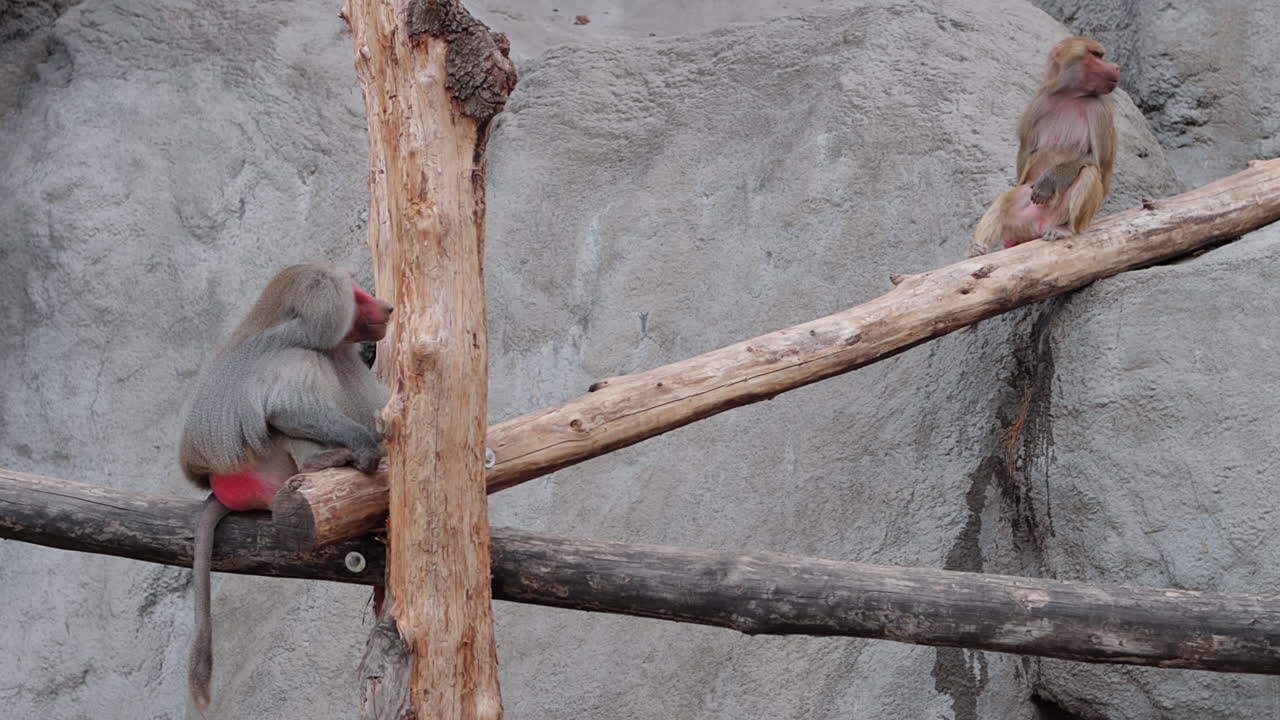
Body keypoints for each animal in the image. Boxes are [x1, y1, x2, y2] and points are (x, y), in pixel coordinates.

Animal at [178, 263, 393, 713]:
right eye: (357, 296)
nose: (388, 306)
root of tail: (219, 487)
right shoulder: (298, 354)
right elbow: (284, 407)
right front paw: (364, 446)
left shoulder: (343, 356)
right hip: (264, 467)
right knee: (293, 404)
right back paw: (323, 463)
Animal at [969, 36, 1120, 257]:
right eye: (1096, 55)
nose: (1117, 67)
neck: (1071, 96)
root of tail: (1039, 225)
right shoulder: (1038, 104)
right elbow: (1026, 154)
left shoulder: (1100, 110)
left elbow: (1099, 164)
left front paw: (1050, 179)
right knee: (1003, 202)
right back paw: (977, 250)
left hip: (1069, 216)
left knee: (1088, 173)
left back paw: (1065, 229)